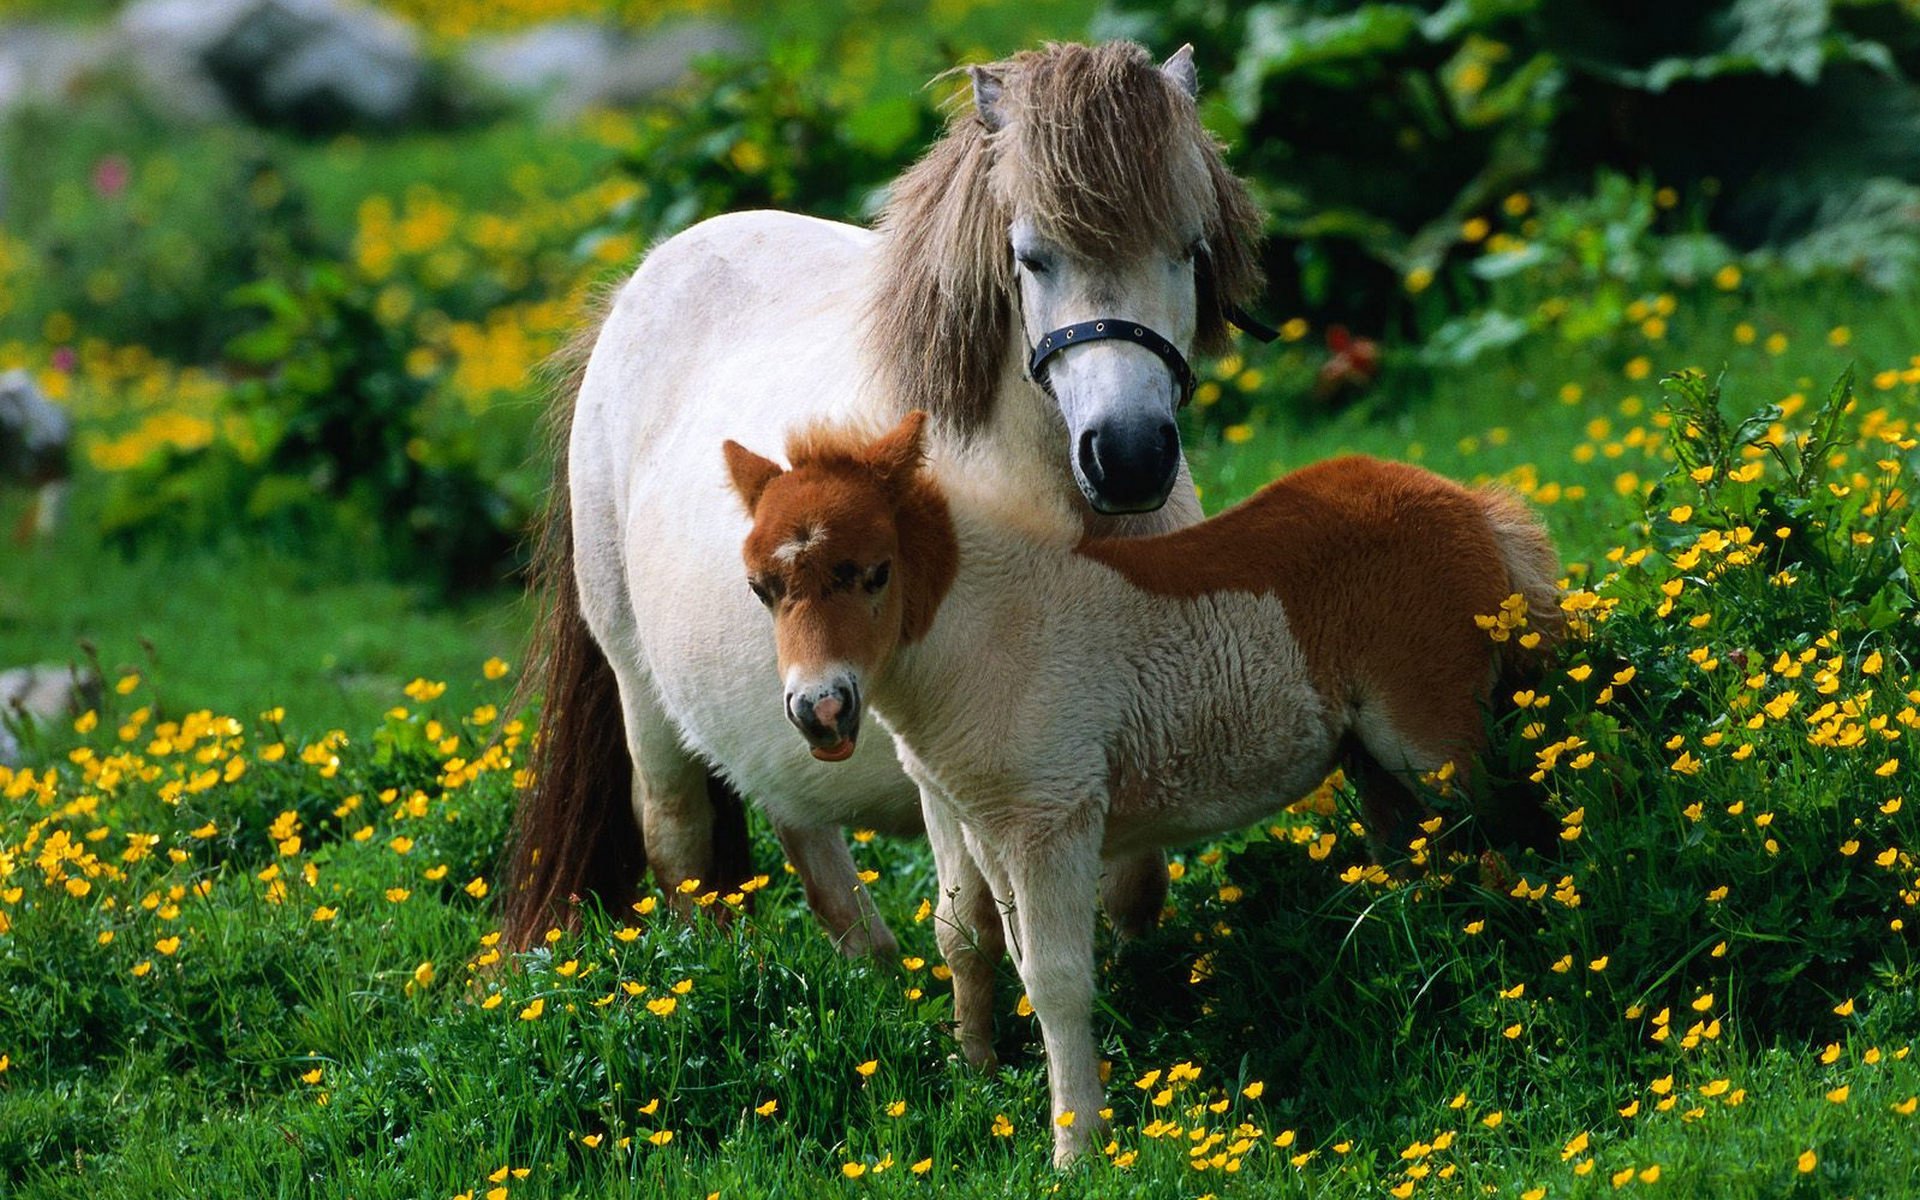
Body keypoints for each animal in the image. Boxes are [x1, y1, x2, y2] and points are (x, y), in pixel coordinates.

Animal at [501, 40, 1270, 954]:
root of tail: (632, 294)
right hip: (641, 690)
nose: (1127, 456)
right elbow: (984, 921)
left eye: (1188, 249)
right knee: (678, 838)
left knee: (798, 820)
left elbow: (1134, 888)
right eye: (1032, 256)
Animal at [725, 410, 1564, 1164]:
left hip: (1434, 742)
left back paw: (1529, 989)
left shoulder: (1053, 820)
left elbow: (1059, 980)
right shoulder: (988, 829)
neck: (989, 636)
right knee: (1420, 857)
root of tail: (1469, 503)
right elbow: (998, 952)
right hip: (1375, 761)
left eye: (874, 573)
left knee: (1515, 831)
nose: (820, 710)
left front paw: (1077, 1149)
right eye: (761, 589)